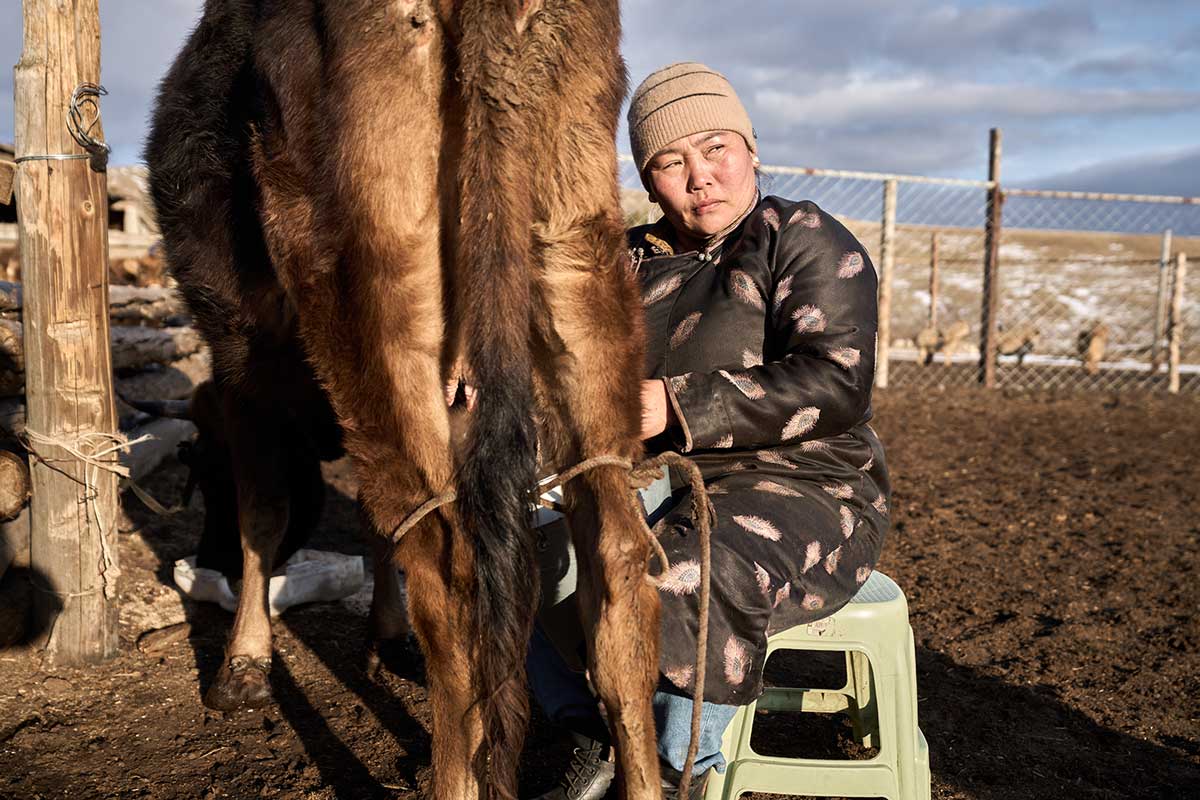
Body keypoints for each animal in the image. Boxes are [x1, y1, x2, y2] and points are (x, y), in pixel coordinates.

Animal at [147, 1, 667, 800]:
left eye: (203, 482)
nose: (206, 564)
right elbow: (368, 517)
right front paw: (384, 636)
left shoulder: (240, 348)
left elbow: (266, 510)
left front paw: (243, 664)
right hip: (577, 255)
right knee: (616, 553)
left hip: (372, 292)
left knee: (450, 581)